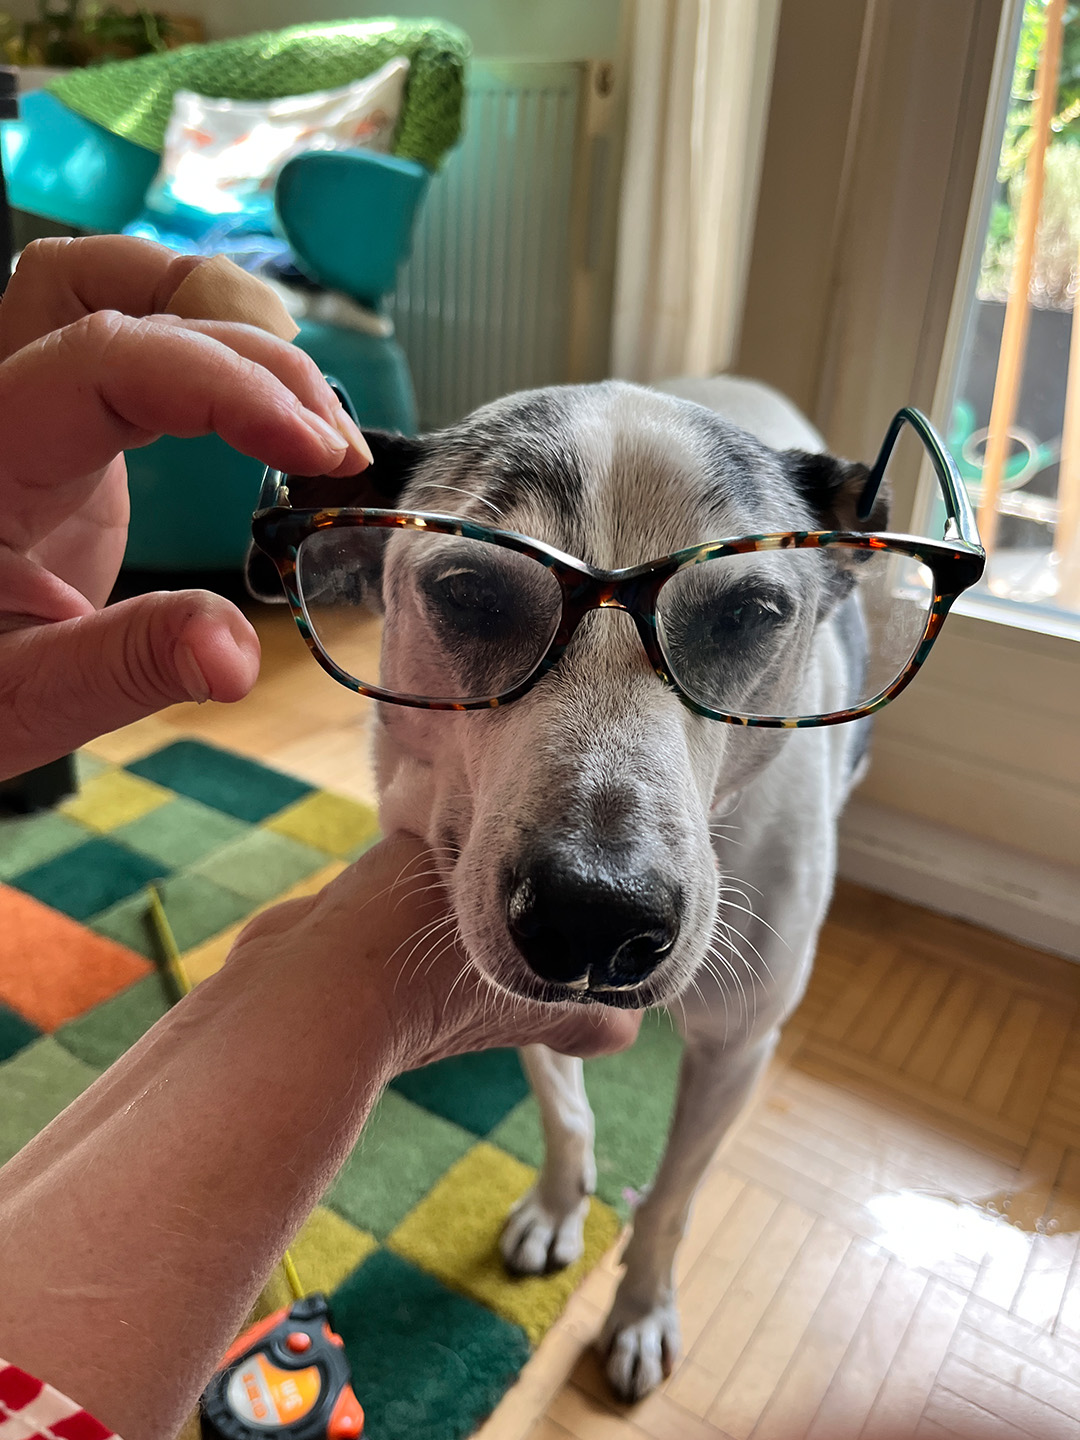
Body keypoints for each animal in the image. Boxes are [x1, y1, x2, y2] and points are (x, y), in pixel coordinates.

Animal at [249, 375, 884, 1402]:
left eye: (751, 612)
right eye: (468, 592)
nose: (595, 913)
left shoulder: (739, 1045)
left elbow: (671, 1198)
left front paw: (641, 1308)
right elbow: (562, 1108)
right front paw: (557, 1205)